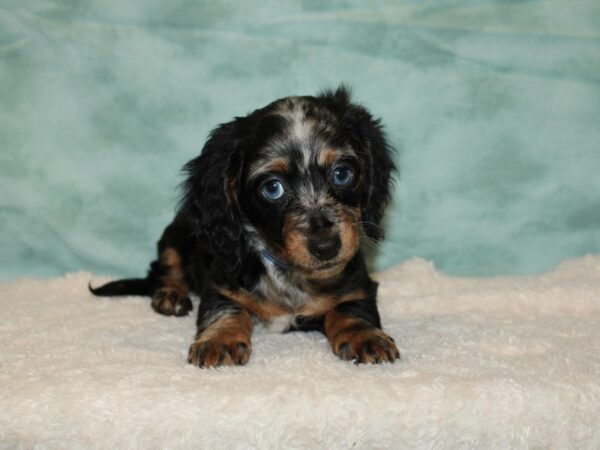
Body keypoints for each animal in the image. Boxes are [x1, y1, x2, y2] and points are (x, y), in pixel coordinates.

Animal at [90, 86, 398, 368]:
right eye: (272, 188)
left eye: (342, 174)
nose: (326, 246)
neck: (289, 274)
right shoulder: (221, 284)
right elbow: (227, 310)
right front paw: (219, 340)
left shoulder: (358, 284)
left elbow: (351, 310)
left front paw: (366, 336)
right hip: (174, 233)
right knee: (165, 266)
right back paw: (170, 294)